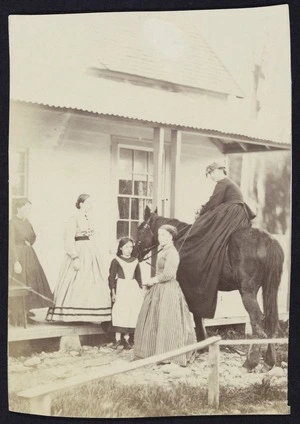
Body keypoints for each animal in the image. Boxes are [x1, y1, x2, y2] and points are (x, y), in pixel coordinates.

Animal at [136, 207, 284, 370]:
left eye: (140, 229)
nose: (134, 252)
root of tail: (269, 240)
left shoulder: (192, 291)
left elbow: (197, 316)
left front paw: (201, 345)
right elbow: (199, 317)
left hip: (247, 292)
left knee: (257, 320)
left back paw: (250, 362)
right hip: (270, 289)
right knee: (271, 321)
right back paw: (269, 361)